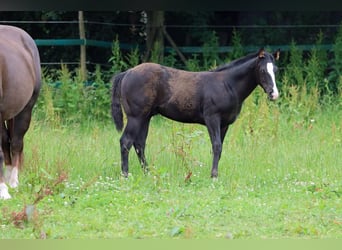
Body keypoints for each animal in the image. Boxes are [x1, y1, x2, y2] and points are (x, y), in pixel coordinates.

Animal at [111, 47, 280, 179]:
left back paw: (148, 173)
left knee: (139, 144)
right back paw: (125, 175)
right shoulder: (212, 119)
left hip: (145, 117)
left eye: (275, 70)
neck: (227, 84)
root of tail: (127, 73)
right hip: (136, 117)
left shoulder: (224, 124)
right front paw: (214, 176)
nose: (274, 94)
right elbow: (217, 145)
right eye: (263, 70)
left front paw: (214, 174)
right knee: (126, 141)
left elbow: (218, 148)